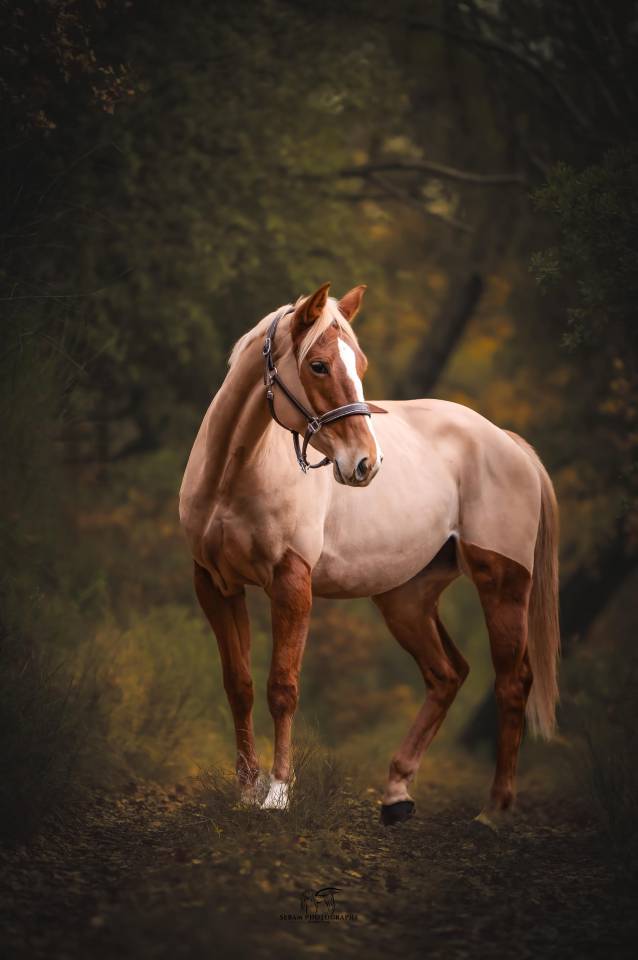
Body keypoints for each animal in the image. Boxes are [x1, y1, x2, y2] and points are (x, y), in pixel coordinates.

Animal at [179, 282, 560, 827]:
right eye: (318, 365)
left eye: (358, 363)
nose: (365, 463)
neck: (234, 475)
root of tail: (506, 443)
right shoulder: (214, 584)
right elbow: (240, 685)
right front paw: (246, 790)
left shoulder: (291, 584)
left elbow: (282, 688)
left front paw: (278, 793)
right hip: (405, 599)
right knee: (447, 675)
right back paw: (398, 793)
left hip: (503, 584)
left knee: (512, 683)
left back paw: (494, 810)